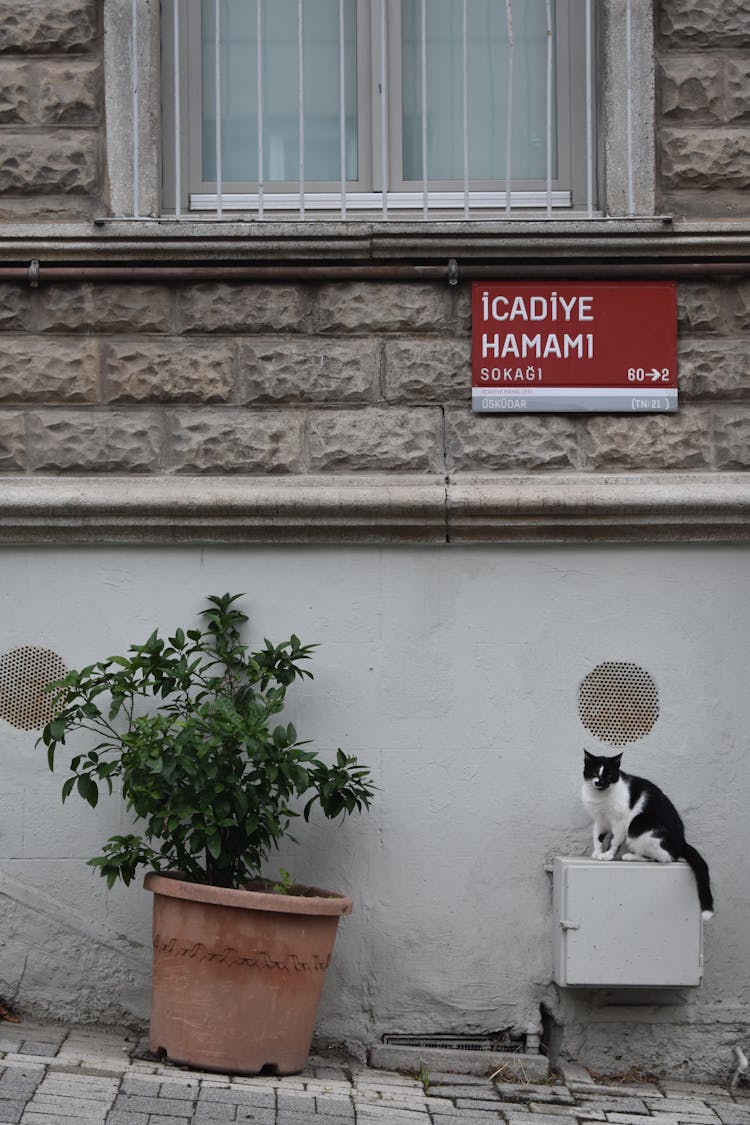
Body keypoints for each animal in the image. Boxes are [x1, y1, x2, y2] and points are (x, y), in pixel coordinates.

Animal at [584, 751, 715, 918]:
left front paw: (608, 855)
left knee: (665, 858)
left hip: (639, 825)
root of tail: (681, 841)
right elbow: (598, 837)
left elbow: (614, 840)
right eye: (595, 773)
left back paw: (630, 856)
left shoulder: (620, 821)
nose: (599, 782)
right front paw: (597, 852)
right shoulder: (599, 820)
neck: (601, 798)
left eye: (609, 776)